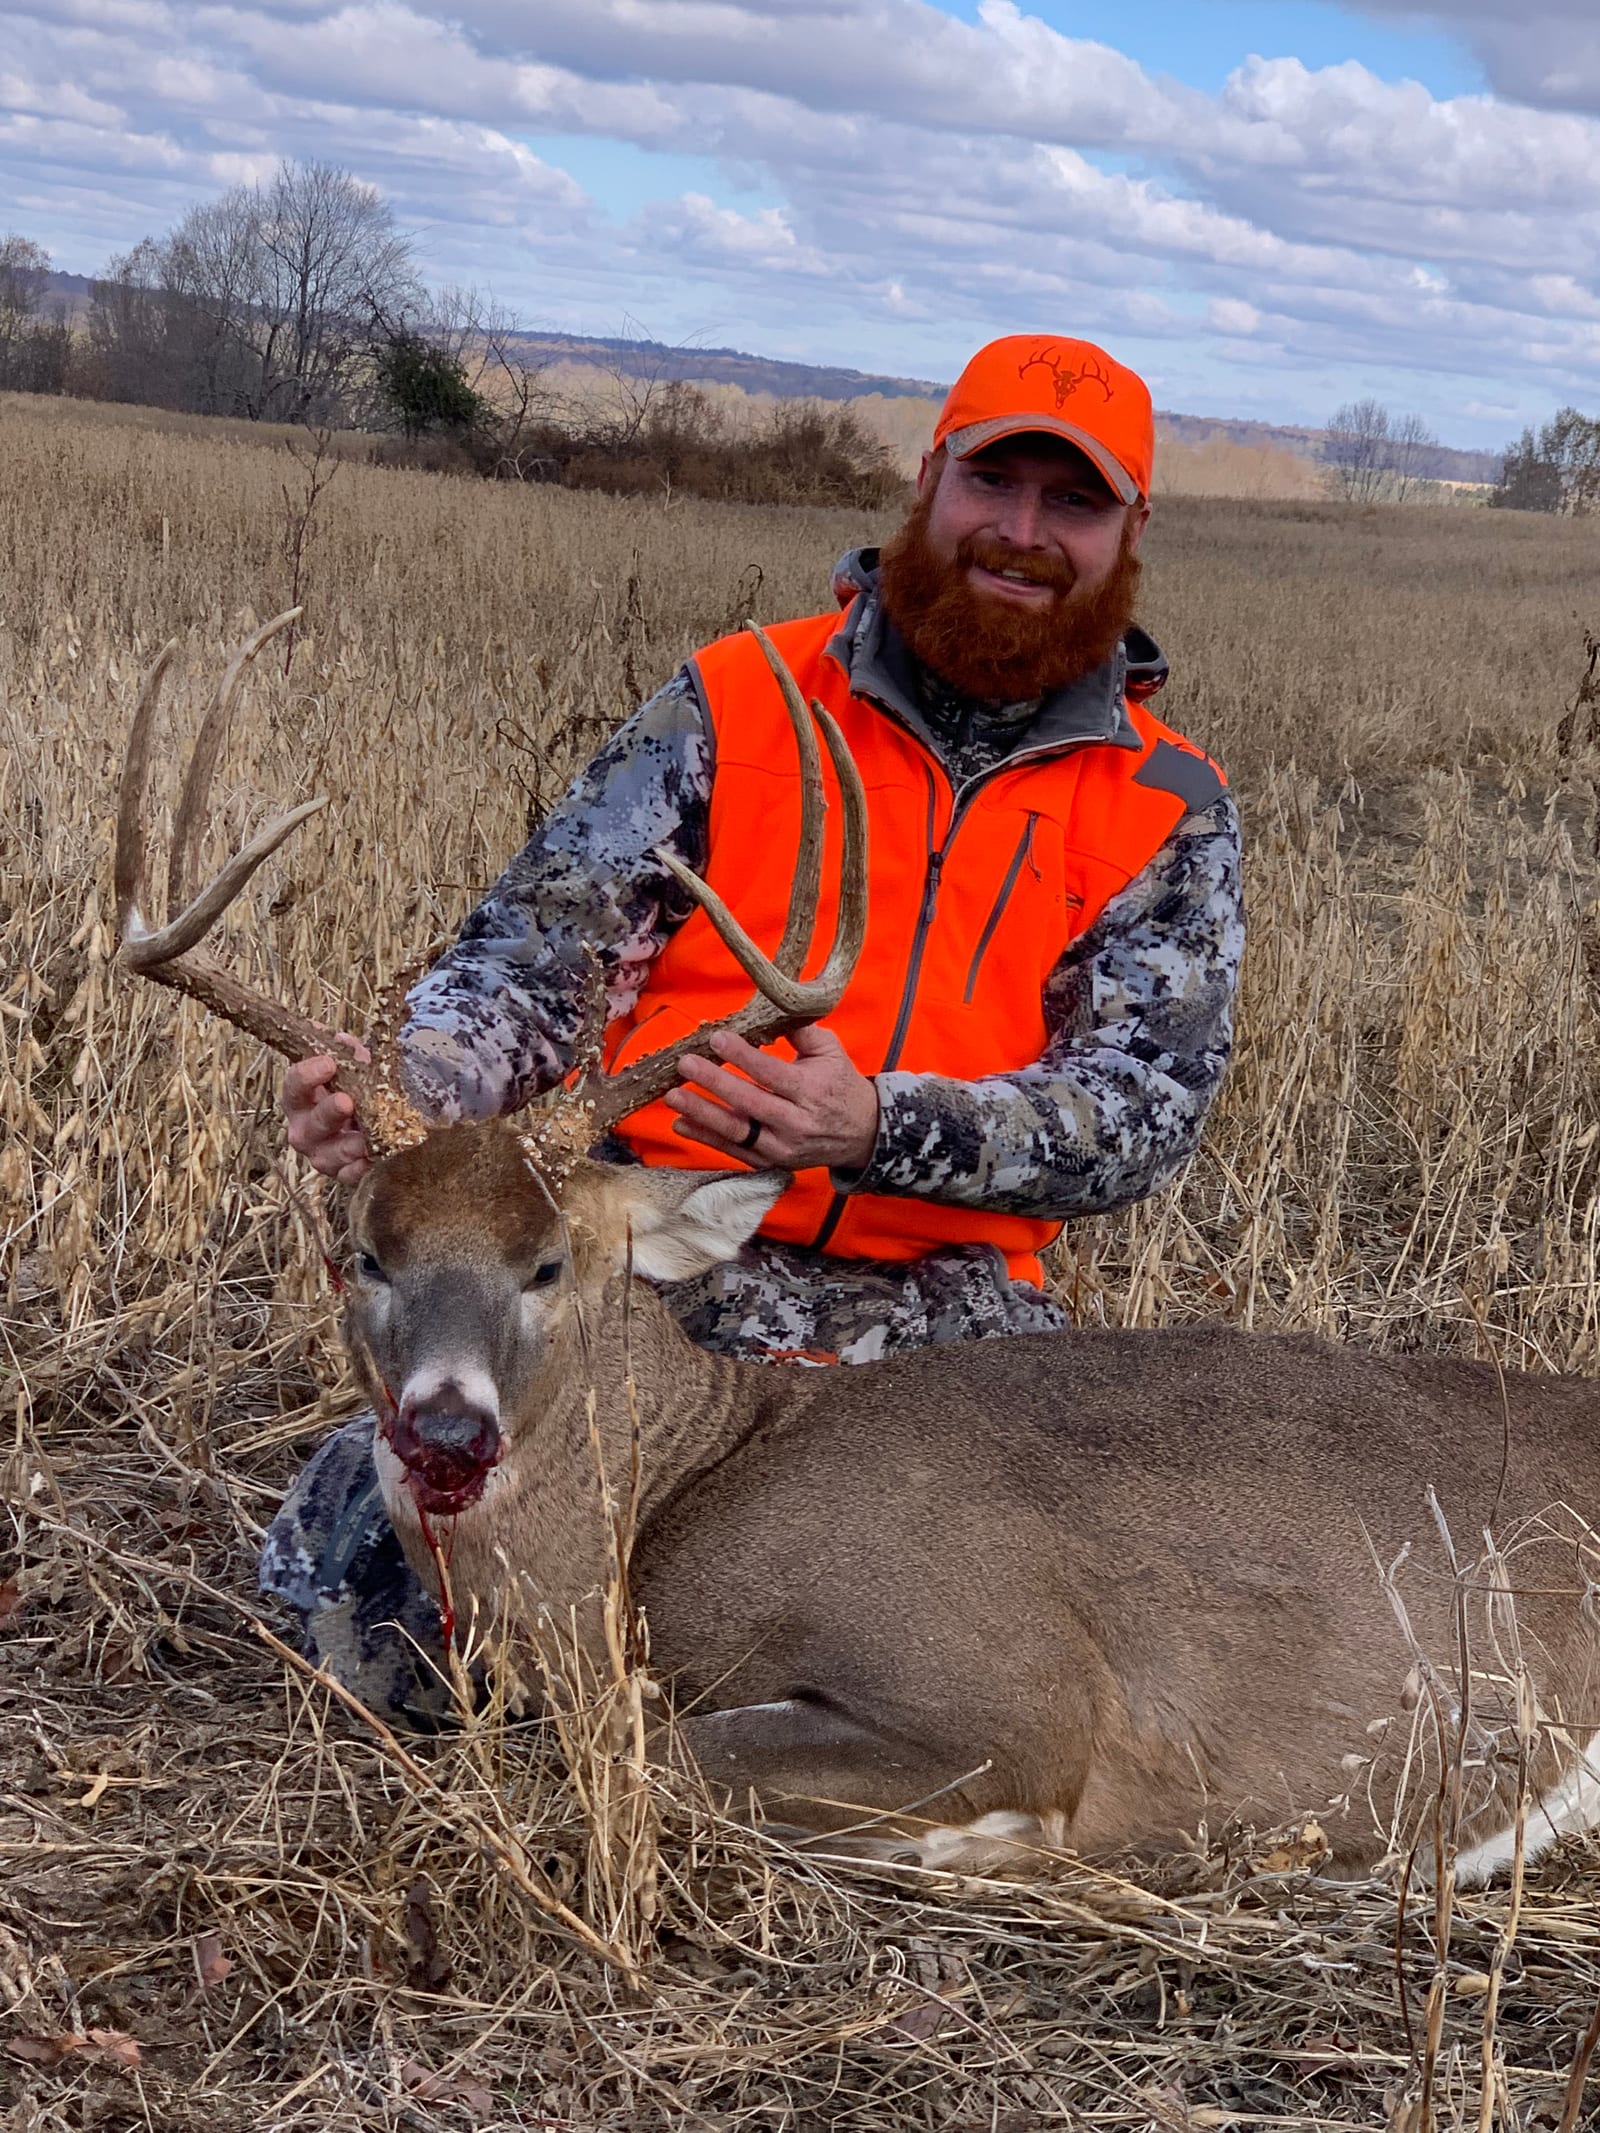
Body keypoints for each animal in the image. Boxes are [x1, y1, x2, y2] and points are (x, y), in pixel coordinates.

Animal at [116, 610, 1600, 1882]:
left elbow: (655, 1752)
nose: (444, 1432)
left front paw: (1002, 1851)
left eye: (551, 1263)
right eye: (361, 1251)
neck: (666, 1510)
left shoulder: (1008, 1684)